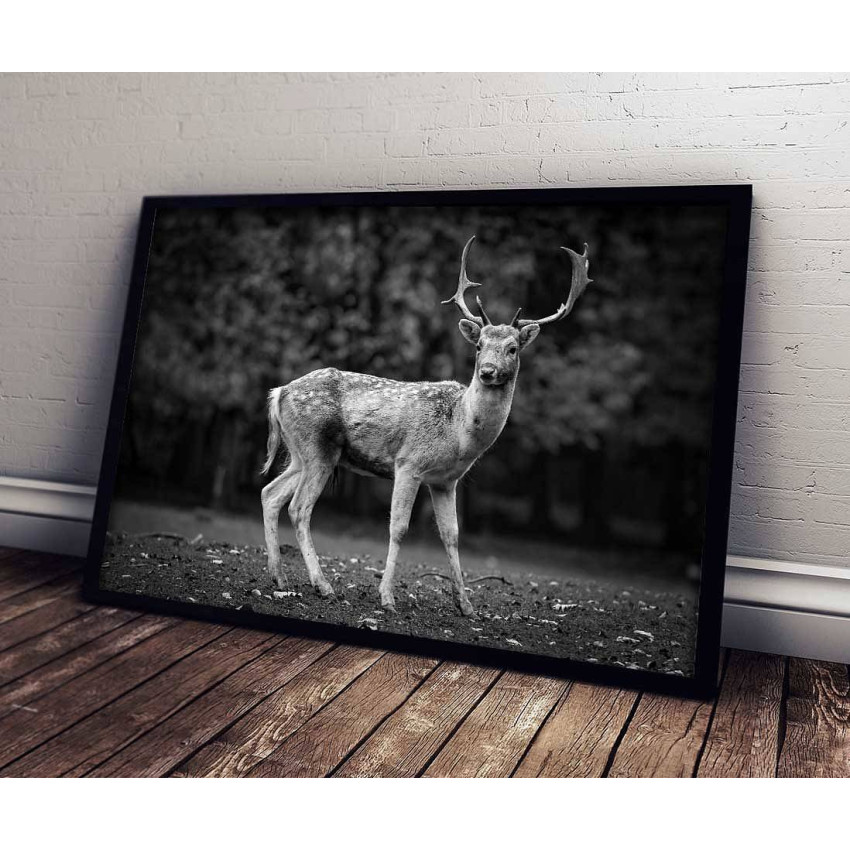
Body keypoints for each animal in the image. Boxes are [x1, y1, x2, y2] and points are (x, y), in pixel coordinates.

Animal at [261, 235, 591, 617]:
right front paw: (387, 598)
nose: (487, 371)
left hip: (300, 453)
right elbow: (399, 528)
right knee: (299, 508)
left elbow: (452, 535)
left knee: (270, 493)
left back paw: (280, 578)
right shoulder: (409, 463)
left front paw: (466, 605)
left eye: (512, 348)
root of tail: (278, 392)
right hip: (318, 448)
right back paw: (323, 586)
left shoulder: (446, 481)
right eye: (479, 346)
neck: (459, 434)